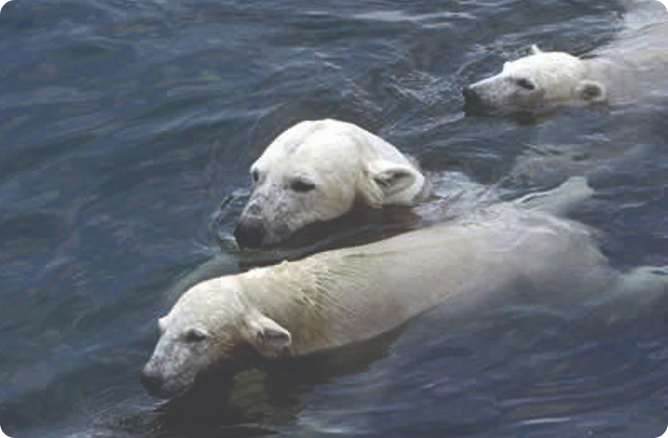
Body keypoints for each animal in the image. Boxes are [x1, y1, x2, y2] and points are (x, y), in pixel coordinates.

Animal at [141, 181, 668, 399]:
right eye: (162, 328)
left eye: (196, 336)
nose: (150, 377)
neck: (293, 298)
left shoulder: (346, 344)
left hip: (547, 268)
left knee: (601, 294)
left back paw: (652, 279)